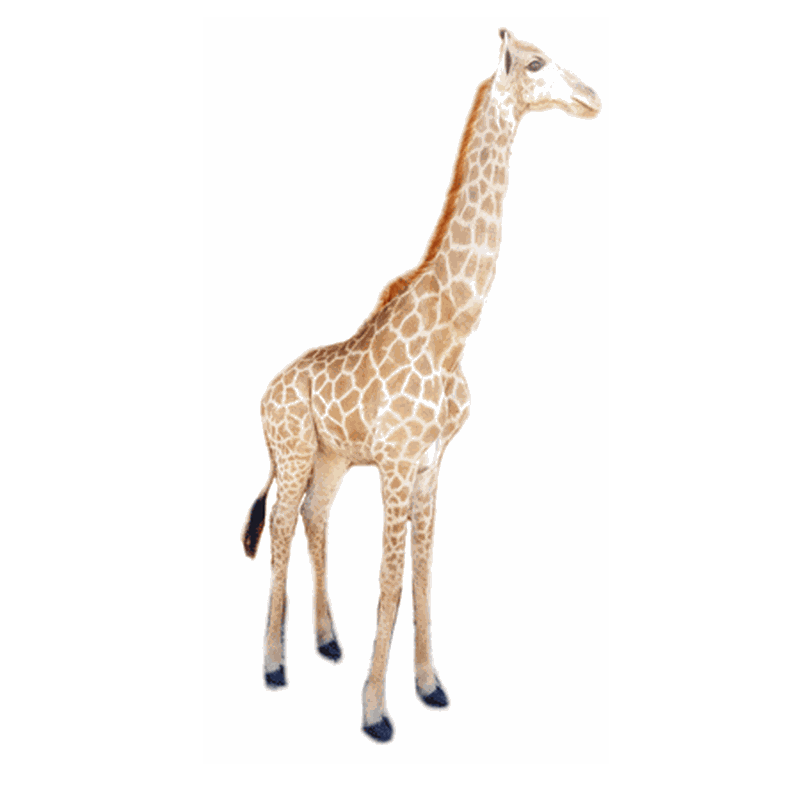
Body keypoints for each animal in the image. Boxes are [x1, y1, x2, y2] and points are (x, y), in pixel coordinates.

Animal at [242, 28, 600, 742]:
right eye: (536, 63)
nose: (591, 99)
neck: (453, 329)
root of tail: (266, 394)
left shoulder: (432, 461)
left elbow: (426, 576)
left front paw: (431, 686)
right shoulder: (398, 463)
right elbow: (391, 586)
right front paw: (376, 713)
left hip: (331, 456)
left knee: (314, 517)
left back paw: (326, 641)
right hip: (292, 451)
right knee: (280, 531)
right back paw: (273, 665)